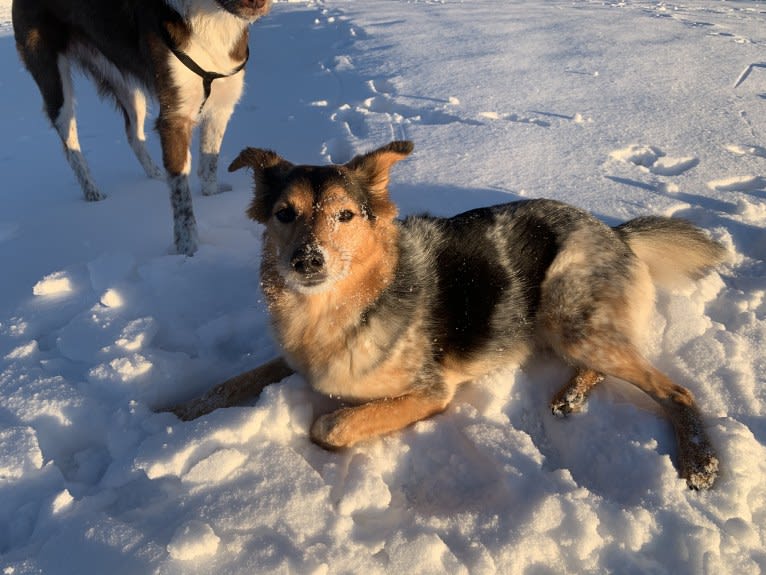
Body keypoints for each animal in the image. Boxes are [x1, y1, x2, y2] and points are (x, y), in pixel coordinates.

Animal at [12, 0, 272, 256]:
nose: (258, 4)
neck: (211, 17)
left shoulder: (221, 106)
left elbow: (209, 162)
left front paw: (212, 195)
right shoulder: (174, 118)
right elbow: (181, 193)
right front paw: (188, 249)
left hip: (127, 85)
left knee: (133, 135)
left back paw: (154, 174)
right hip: (55, 82)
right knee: (70, 143)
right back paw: (93, 192)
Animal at [168, 141, 728, 490]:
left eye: (345, 216)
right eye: (285, 214)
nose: (307, 261)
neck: (341, 310)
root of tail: (615, 231)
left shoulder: (430, 391)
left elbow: (330, 424)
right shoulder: (295, 359)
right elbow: (230, 384)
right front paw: (174, 414)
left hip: (564, 315)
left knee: (676, 390)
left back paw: (700, 461)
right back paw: (571, 395)